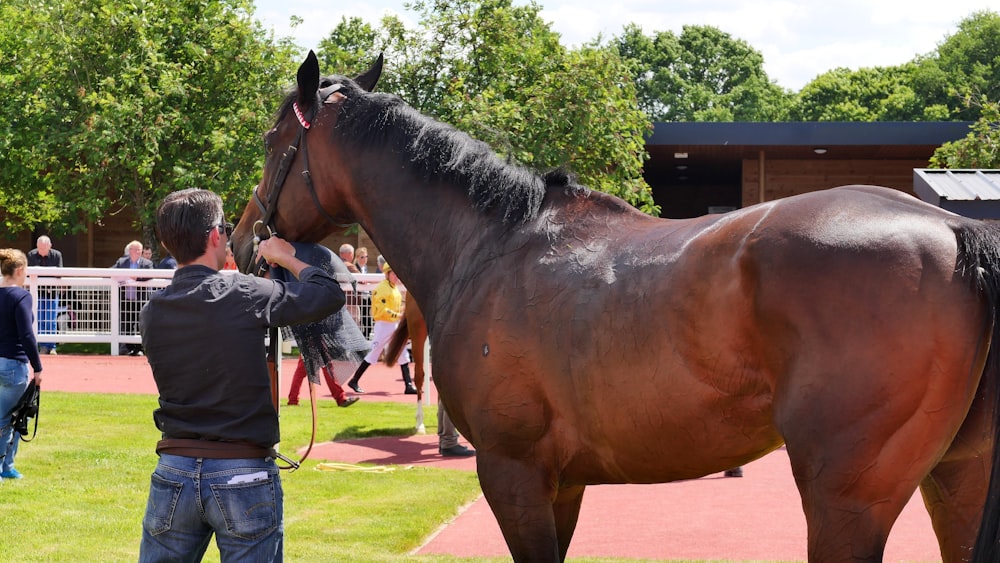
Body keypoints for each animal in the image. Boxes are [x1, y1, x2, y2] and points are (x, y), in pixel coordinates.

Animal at [236, 50, 1000, 560]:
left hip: (848, 496)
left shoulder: (512, 472)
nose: (244, 238)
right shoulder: (564, 483)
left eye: (273, 141)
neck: (491, 243)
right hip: (956, 477)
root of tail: (955, 228)